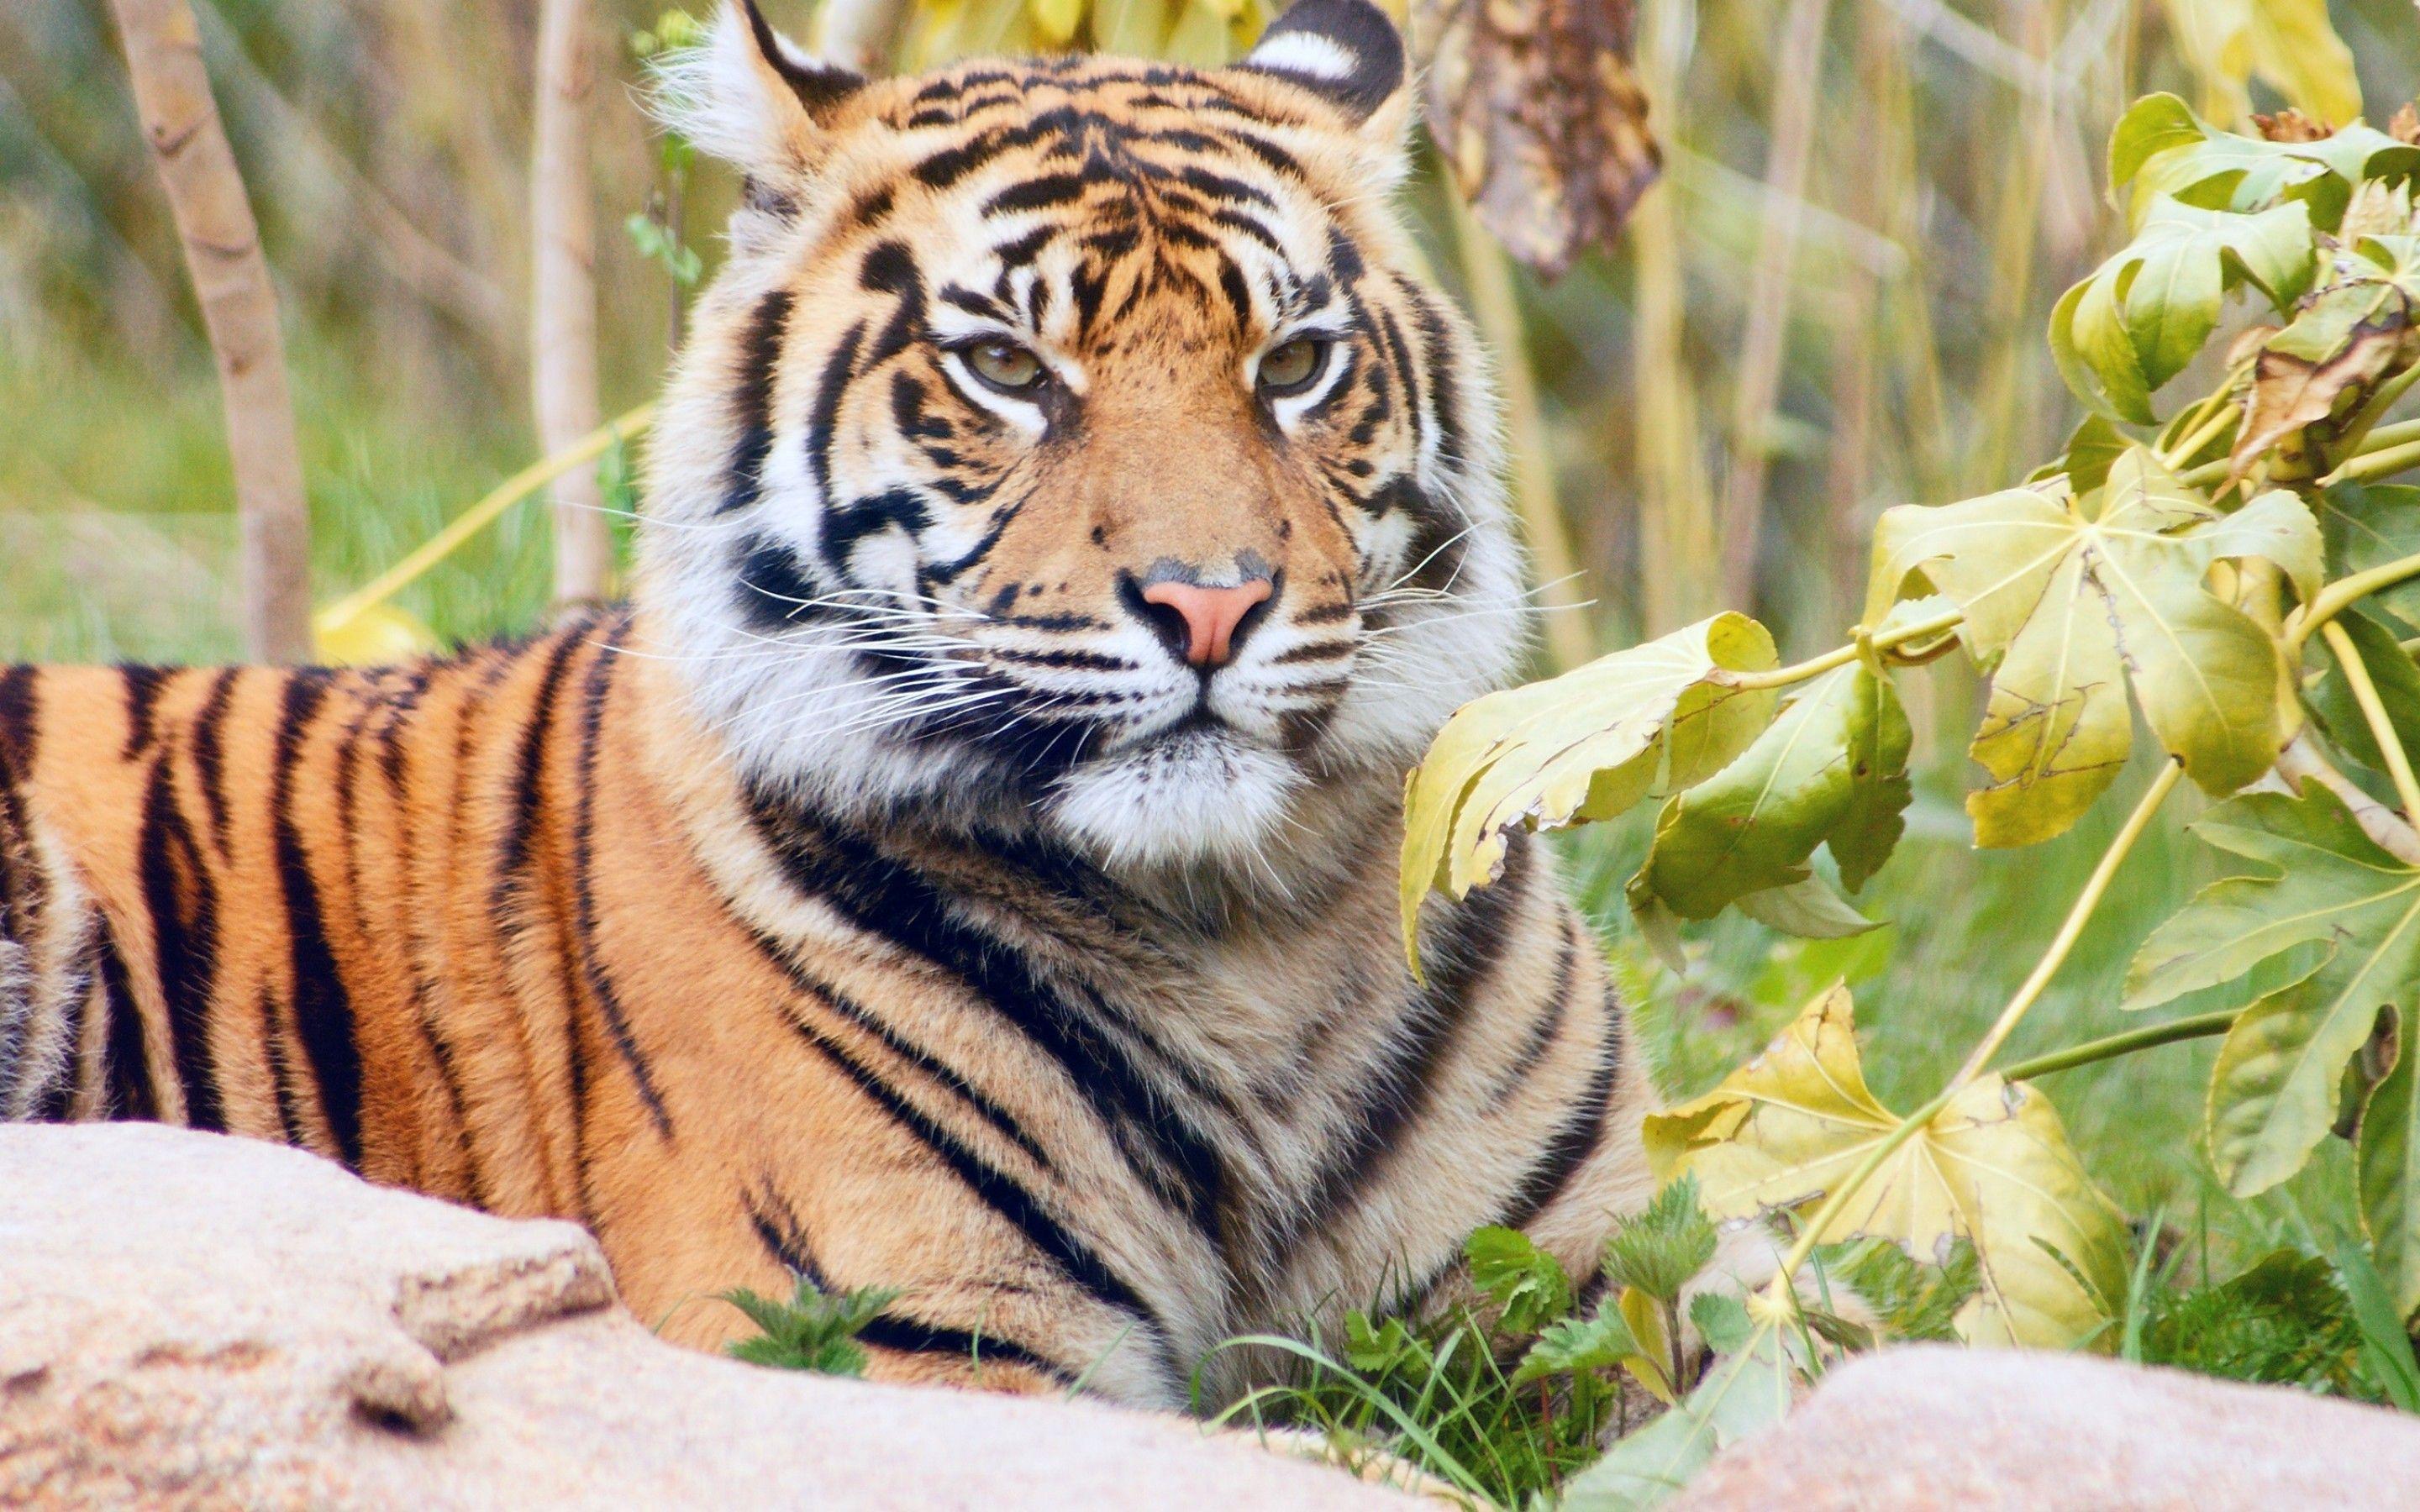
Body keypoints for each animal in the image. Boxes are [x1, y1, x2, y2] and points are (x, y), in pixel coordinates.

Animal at [0, 0, 1674, 1408]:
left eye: (1298, 363)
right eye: (1006, 366)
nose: (1211, 603)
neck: (1239, 934)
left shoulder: (1604, 1279)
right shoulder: (908, 1333)